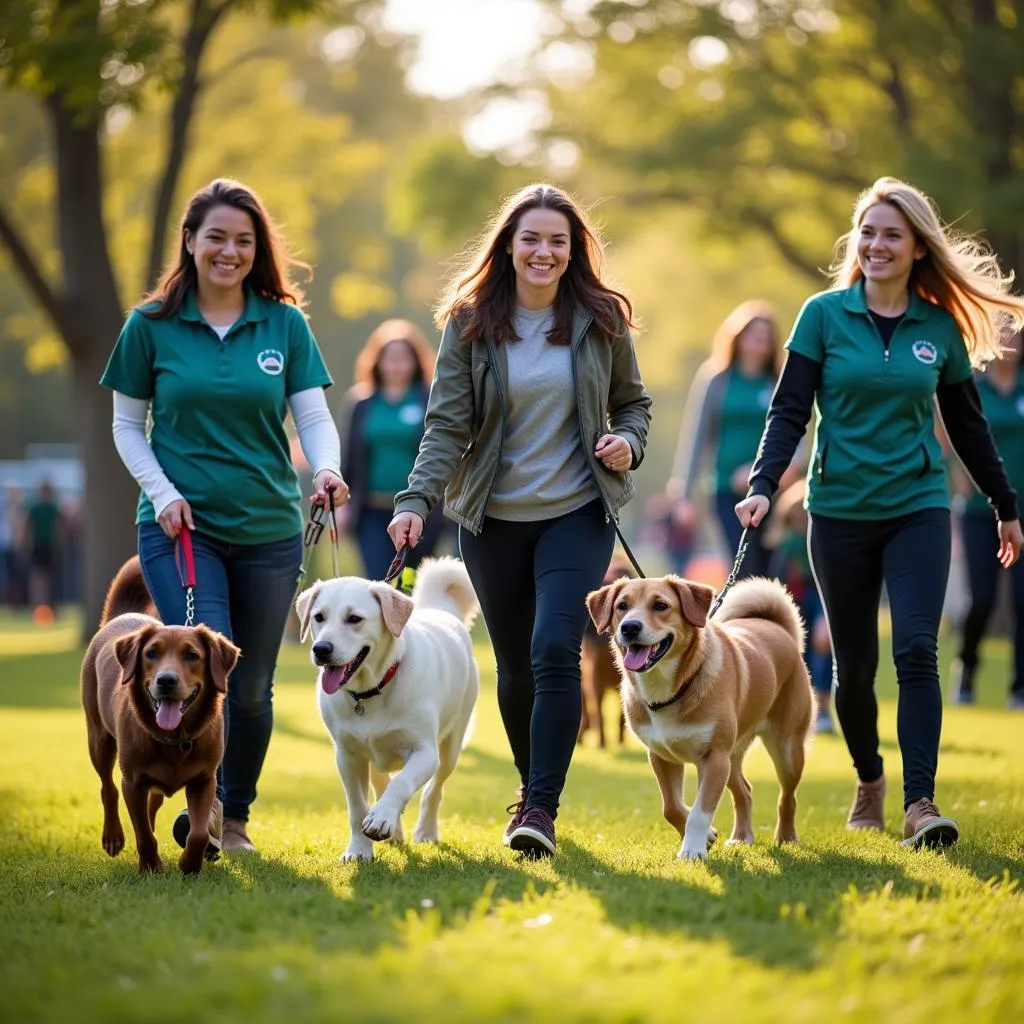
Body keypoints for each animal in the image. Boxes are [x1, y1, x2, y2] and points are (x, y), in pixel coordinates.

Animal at [81, 557, 239, 876]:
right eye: (151, 654)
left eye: (192, 655)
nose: (166, 680)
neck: (175, 738)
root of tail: (122, 615)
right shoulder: (133, 782)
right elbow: (143, 833)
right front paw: (151, 867)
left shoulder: (204, 781)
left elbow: (198, 832)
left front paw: (190, 865)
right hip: (98, 740)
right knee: (108, 789)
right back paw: (113, 836)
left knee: (152, 804)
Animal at [290, 561, 477, 864]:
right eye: (319, 617)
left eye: (354, 619)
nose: (321, 649)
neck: (372, 691)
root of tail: (439, 609)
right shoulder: (348, 756)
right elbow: (357, 806)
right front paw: (358, 849)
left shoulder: (425, 751)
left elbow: (401, 783)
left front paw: (381, 819)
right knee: (381, 783)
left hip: (451, 747)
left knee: (433, 791)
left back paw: (425, 830)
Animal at [589, 577, 811, 856]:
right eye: (622, 606)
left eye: (660, 605)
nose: (629, 627)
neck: (671, 690)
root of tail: (777, 627)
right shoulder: (663, 757)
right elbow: (671, 807)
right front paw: (706, 836)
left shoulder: (714, 758)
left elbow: (699, 811)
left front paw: (692, 850)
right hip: (732, 757)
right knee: (745, 792)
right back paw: (742, 837)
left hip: (786, 750)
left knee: (788, 796)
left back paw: (786, 836)